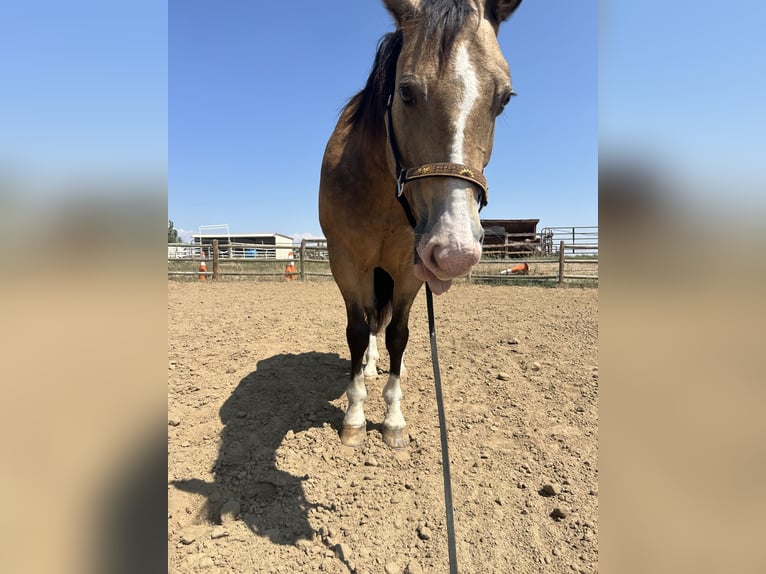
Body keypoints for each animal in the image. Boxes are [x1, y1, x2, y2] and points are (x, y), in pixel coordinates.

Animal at [320, 0, 524, 450]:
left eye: (504, 99)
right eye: (407, 92)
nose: (455, 250)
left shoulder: (409, 269)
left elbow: (399, 333)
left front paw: (393, 420)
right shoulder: (346, 263)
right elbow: (358, 331)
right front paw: (355, 417)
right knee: (370, 322)